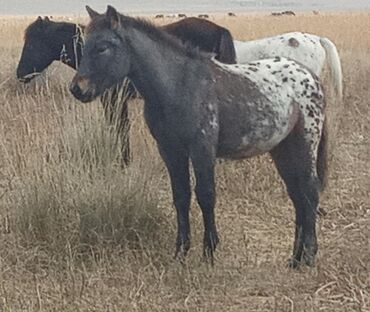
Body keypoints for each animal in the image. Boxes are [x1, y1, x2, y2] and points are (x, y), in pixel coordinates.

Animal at [70, 5, 330, 268]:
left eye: (103, 47)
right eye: (85, 44)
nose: (77, 89)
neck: (178, 85)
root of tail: (311, 76)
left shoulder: (201, 147)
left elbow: (205, 195)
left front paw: (209, 252)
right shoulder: (170, 150)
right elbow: (181, 196)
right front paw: (180, 252)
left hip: (305, 141)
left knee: (309, 191)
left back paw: (308, 256)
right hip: (282, 149)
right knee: (297, 194)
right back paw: (295, 259)